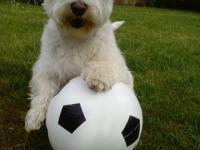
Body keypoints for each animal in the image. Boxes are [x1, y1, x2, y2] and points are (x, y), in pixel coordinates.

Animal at [25, 0, 133, 132]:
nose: (78, 7)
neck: (77, 37)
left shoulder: (117, 64)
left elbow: (103, 64)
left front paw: (98, 78)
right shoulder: (47, 68)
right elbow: (43, 91)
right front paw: (34, 117)